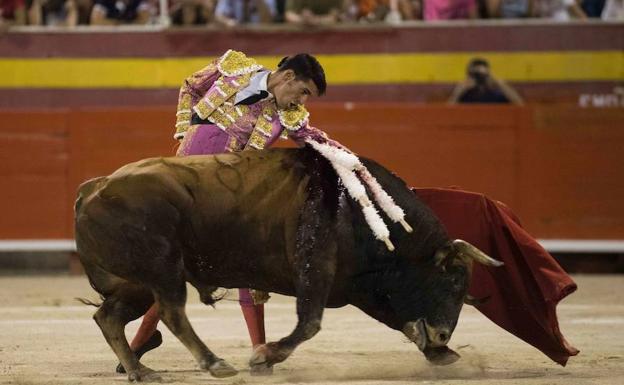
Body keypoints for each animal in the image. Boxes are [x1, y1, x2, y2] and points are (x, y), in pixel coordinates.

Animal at [74, 145, 502, 380]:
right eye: (451, 280)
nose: (443, 334)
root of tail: (95, 187)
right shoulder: (316, 271)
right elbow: (310, 323)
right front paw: (265, 356)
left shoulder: (358, 285)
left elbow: (394, 318)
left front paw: (441, 354)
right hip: (163, 268)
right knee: (171, 312)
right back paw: (214, 363)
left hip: (138, 281)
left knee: (109, 317)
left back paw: (140, 370)